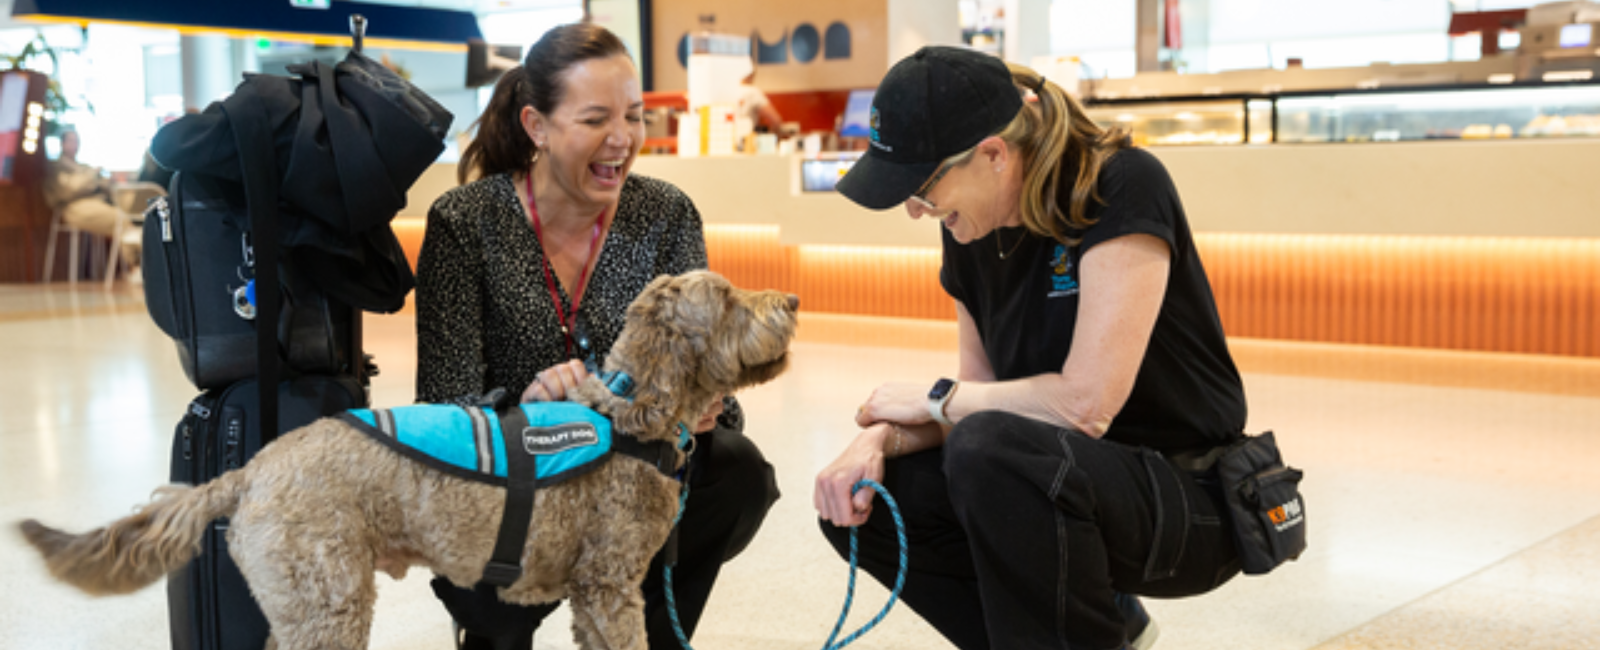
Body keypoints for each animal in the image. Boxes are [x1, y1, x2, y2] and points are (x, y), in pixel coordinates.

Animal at [17, 268, 800, 650]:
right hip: (326, 603)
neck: (626, 411)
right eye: (727, 299)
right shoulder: (610, 588)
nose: (792, 301)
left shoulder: (593, 594)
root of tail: (252, 469)